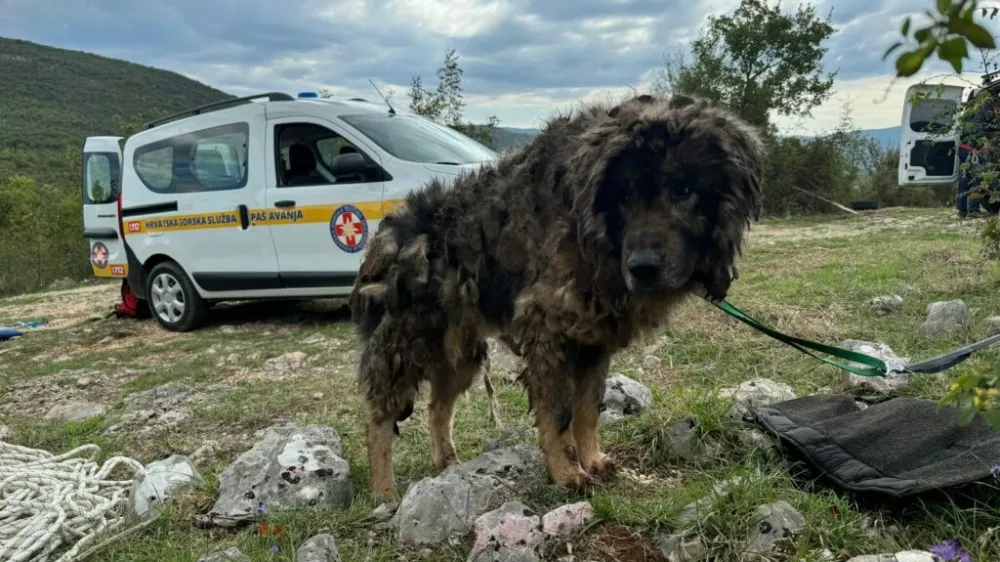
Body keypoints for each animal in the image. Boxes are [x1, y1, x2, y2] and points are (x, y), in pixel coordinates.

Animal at [348, 93, 760, 498]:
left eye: (684, 190)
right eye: (624, 197)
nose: (642, 267)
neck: (589, 231)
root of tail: (384, 238)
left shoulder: (594, 341)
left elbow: (588, 409)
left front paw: (592, 459)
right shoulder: (550, 332)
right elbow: (559, 415)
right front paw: (567, 473)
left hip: (459, 352)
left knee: (437, 407)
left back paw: (448, 463)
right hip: (405, 344)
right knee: (378, 418)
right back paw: (384, 493)